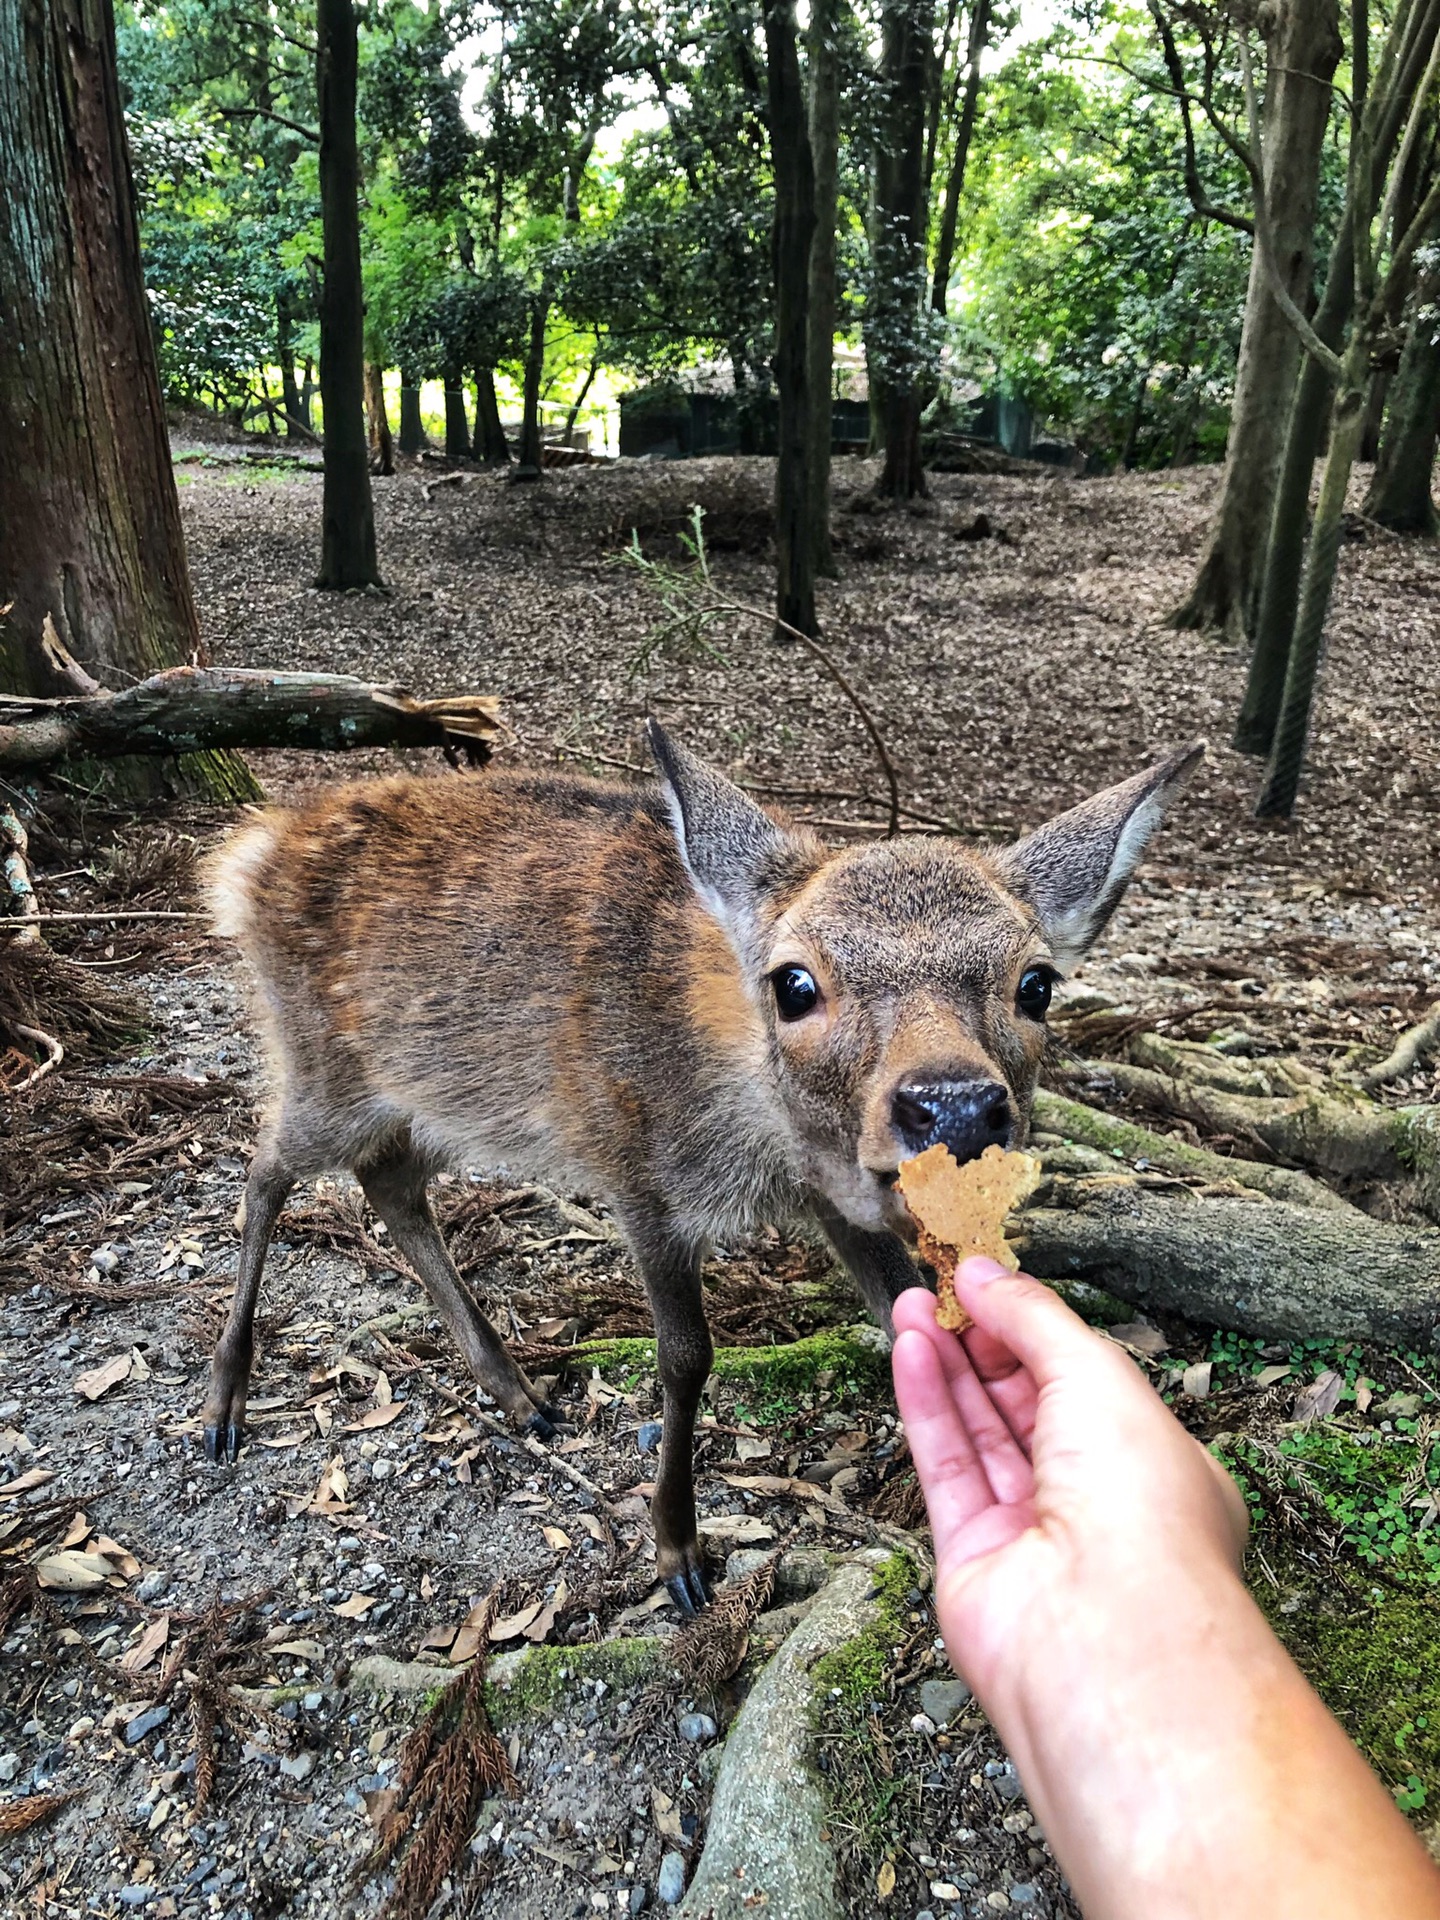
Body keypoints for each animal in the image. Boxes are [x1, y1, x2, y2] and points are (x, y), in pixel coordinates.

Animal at [203, 721, 1205, 1605]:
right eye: (794, 982)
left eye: (1037, 984)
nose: (954, 1107)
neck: (759, 1143)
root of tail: (247, 854)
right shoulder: (636, 1170)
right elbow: (685, 1357)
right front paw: (677, 1552)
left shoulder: (829, 1194)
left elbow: (901, 1310)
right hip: (325, 1065)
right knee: (264, 1167)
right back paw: (224, 1403)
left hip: (432, 1096)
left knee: (391, 1184)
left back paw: (519, 1392)